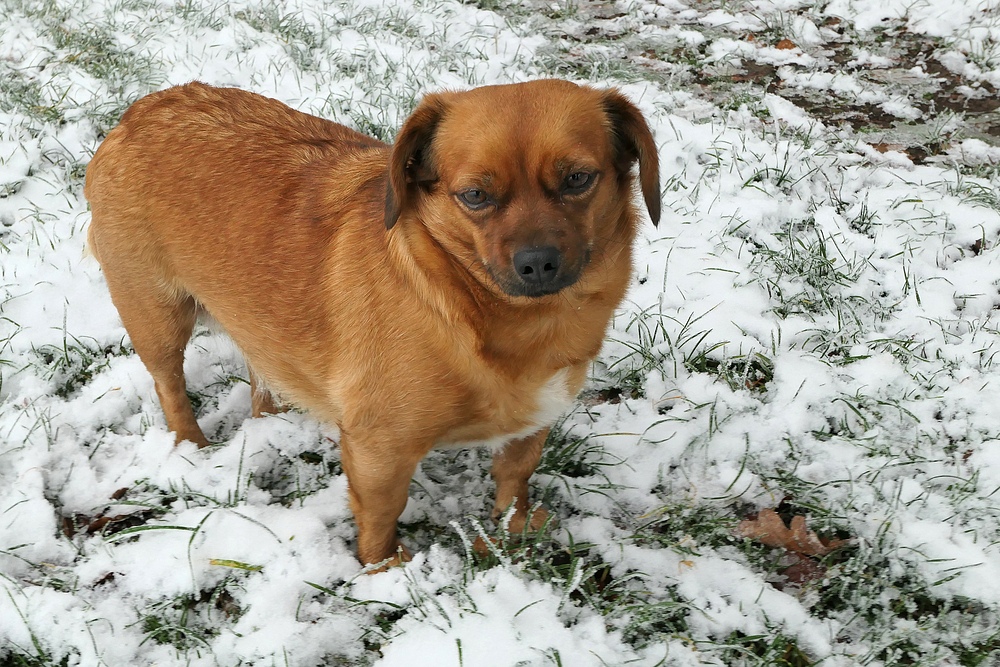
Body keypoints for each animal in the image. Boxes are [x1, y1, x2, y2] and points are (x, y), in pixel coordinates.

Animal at [86, 81, 660, 568]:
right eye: (474, 195)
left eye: (578, 179)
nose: (537, 263)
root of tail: (138, 112)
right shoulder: (380, 450)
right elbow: (383, 513)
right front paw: (385, 573)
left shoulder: (534, 421)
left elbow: (515, 475)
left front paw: (515, 530)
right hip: (157, 315)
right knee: (169, 384)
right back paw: (192, 449)